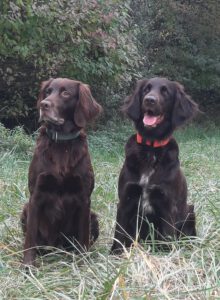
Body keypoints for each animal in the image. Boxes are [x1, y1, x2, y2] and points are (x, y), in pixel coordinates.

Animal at [21, 77, 102, 264]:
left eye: (65, 93)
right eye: (48, 92)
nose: (44, 105)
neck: (62, 144)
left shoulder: (84, 197)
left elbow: (83, 236)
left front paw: (83, 261)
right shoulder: (36, 195)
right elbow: (30, 237)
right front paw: (28, 264)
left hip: (93, 217)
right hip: (25, 209)